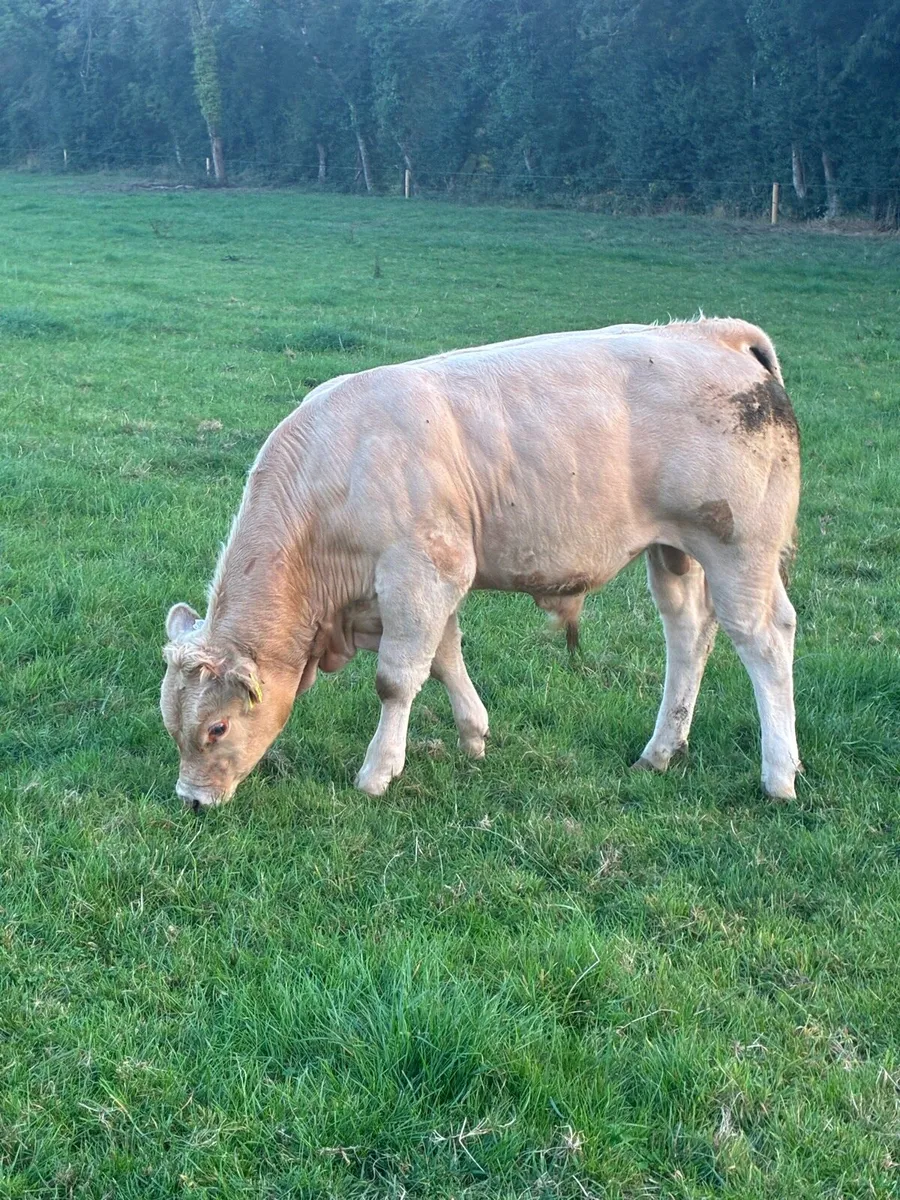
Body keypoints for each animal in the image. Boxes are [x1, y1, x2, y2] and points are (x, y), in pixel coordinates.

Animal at [161, 318, 801, 809]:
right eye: (172, 723)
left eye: (216, 727)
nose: (191, 801)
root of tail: (715, 332)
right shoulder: (431, 584)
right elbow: (445, 658)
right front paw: (473, 736)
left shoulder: (421, 573)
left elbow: (397, 680)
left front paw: (377, 772)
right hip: (676, 553)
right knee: (689, 634)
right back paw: (659, 753)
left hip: (739, 549)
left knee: (765, 639)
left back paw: (778, 777)